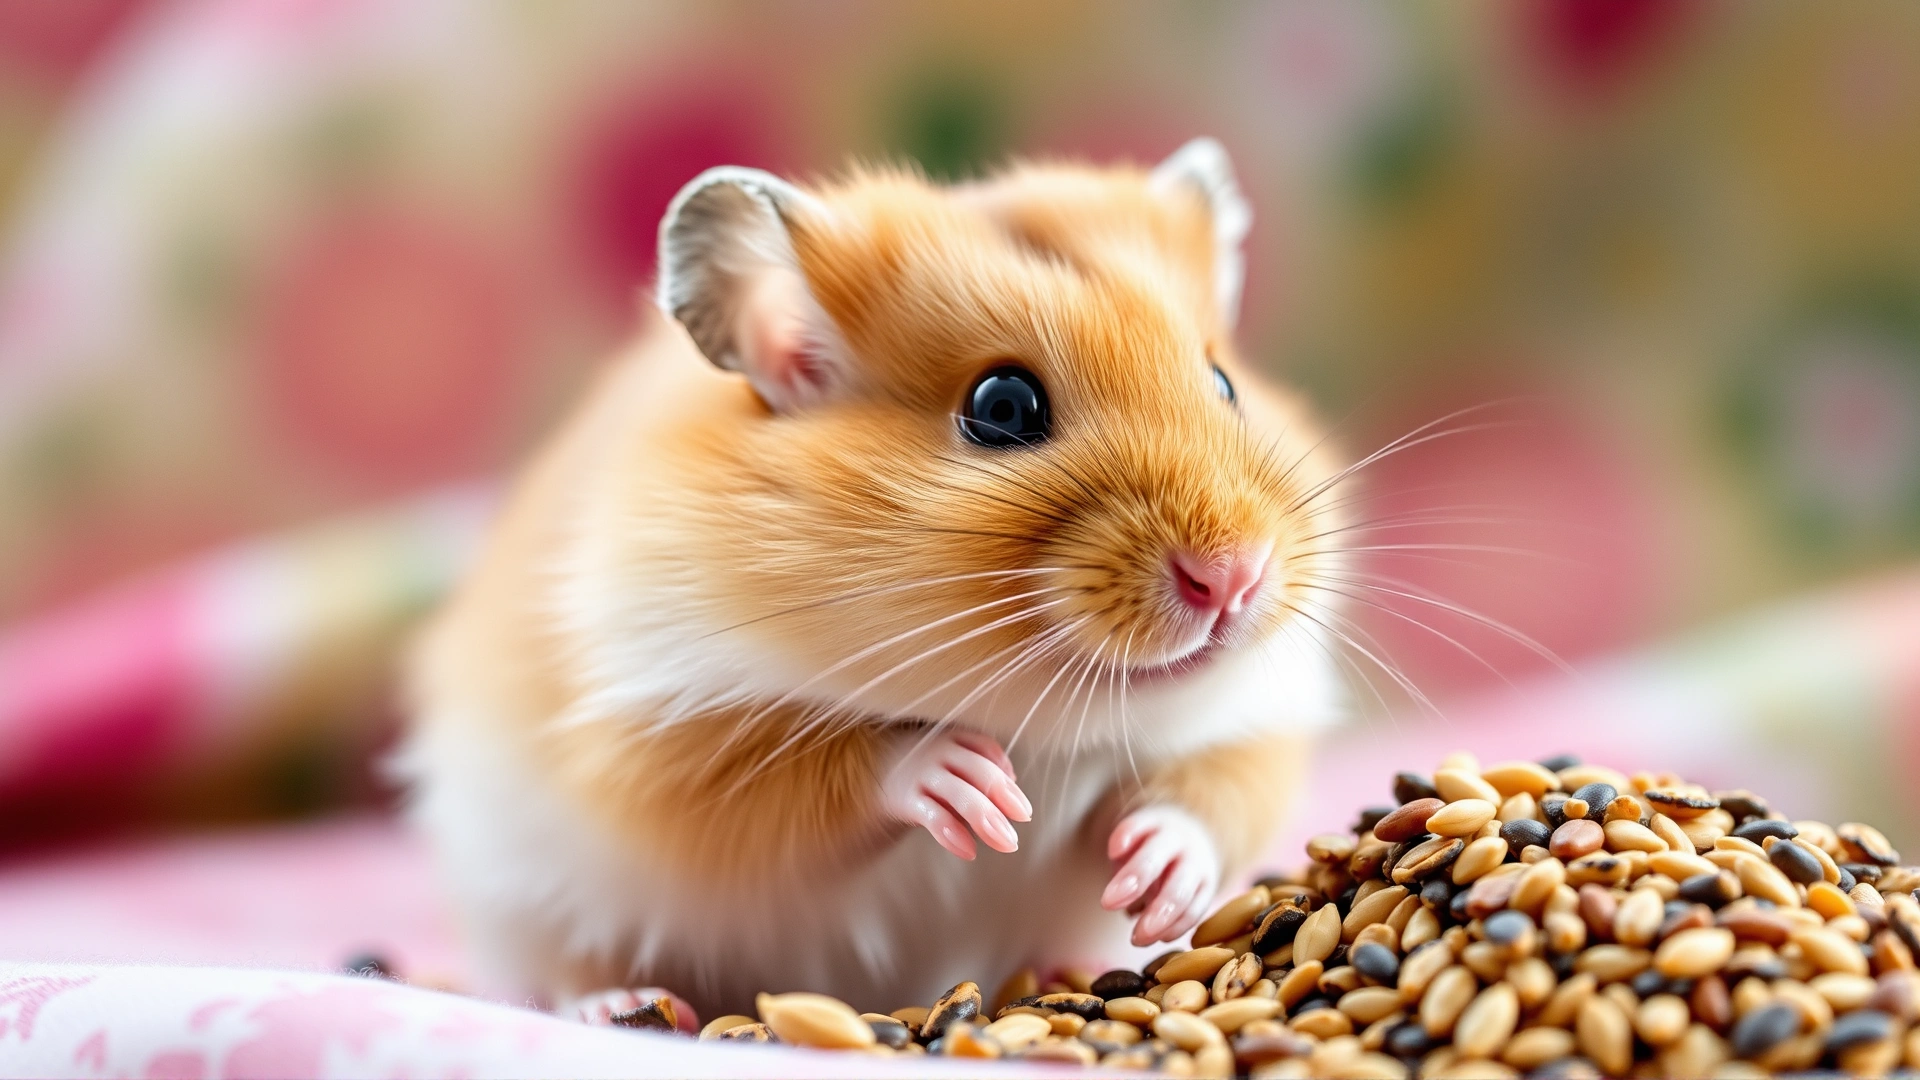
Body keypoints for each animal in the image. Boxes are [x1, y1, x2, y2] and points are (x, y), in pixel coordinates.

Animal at [402, 138, 1348, 1023]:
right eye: (1003, 408)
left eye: (1224, 383)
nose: (1233, 577)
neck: (1040, 718)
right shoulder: (658, 740)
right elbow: (819, 775)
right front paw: (976, 791)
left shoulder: (1254, 713)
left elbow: (1213, 793)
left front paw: (1152, 878)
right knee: (565, 973)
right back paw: (624, 1004)